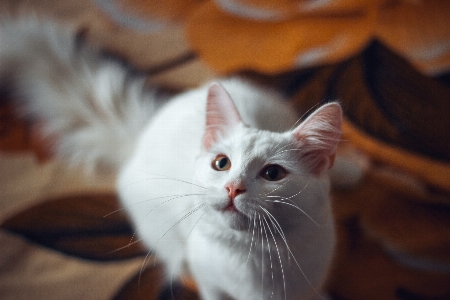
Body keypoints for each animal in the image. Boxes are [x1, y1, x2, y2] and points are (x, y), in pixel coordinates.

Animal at [0, 16, 342, 300]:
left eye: (273, 174)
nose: (233, 188)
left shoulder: (309, 279)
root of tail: (145, 128)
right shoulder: (211, 285)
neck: (253, 260)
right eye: (221, 163)